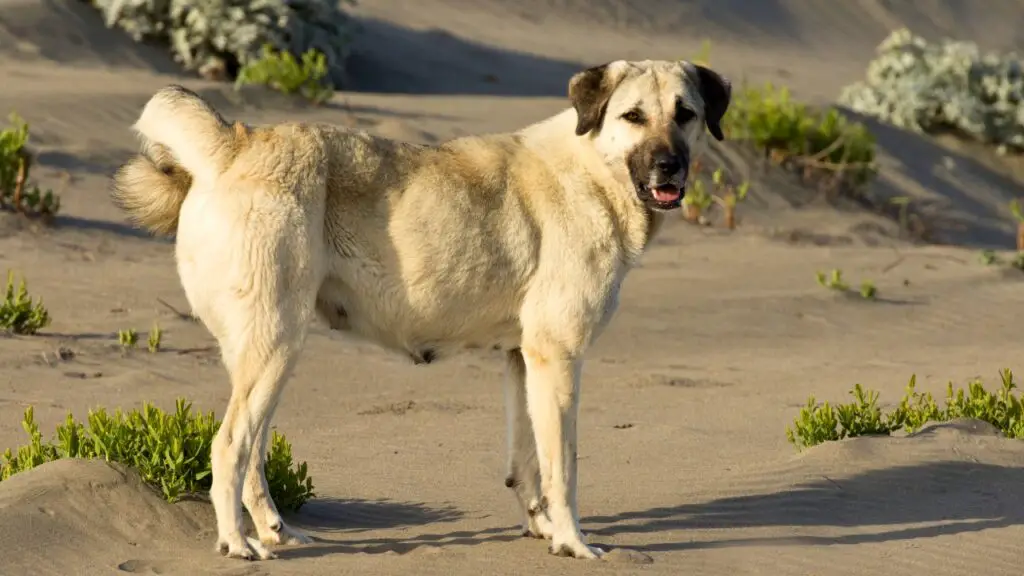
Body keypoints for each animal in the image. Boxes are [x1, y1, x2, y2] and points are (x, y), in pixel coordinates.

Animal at [112, 60, 733, 557]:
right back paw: (238, 544)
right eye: (633, 116)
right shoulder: (559, 358)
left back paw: (274, 531)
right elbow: (564, 470)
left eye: (685, 114)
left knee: (253, 454)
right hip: (276, 346)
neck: (595, 168)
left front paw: (544, 532)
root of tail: (236, 142)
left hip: (266, 356)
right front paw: (575, 543)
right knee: (229, 448)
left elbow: (528, 463)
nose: (669, 167)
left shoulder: (523, 359)